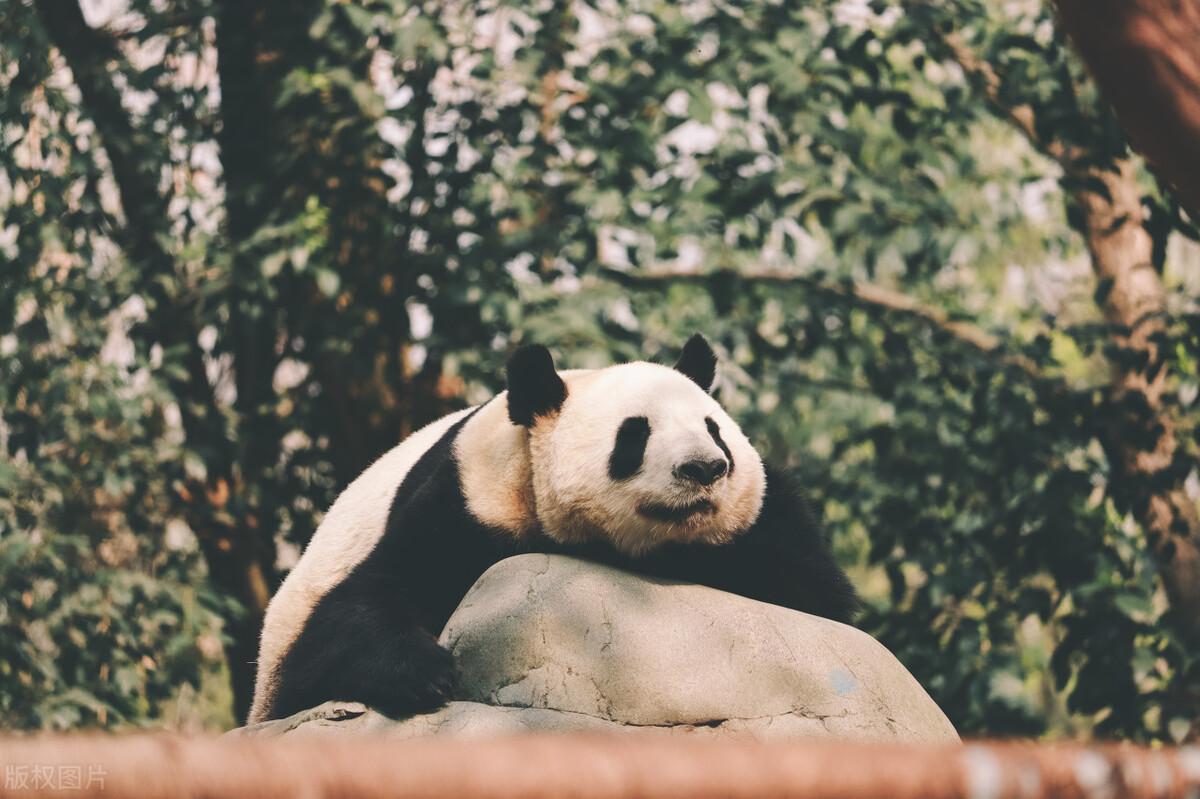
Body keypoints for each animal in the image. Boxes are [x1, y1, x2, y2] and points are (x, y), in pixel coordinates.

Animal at [248, 333, 859, 719]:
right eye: (635, 434)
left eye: (714, 429)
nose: (704, 469)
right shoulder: (467, 502)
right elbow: (345, 618)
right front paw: (426, 674)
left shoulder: (764, 515)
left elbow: (813, 593)